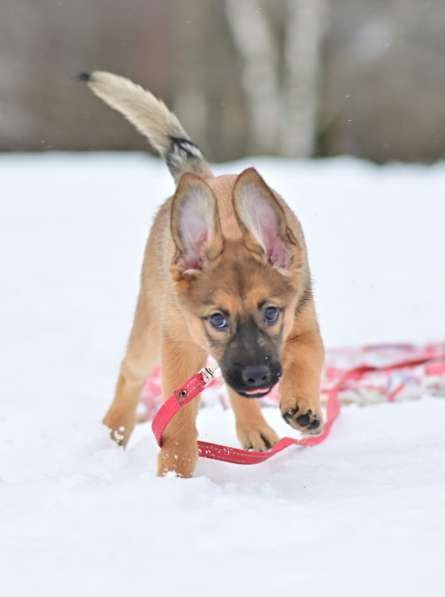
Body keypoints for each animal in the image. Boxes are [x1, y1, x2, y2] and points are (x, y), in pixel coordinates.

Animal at [80, 72, 322, 478]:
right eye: (218, 319)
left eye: (271, 312)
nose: (257, 376)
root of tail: (207, 177)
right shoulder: (178, 348)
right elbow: (177, 420)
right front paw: (175, 474)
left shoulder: (302, 321)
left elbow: (306, 358)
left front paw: (303, 406)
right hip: (151, 329)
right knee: (130, 373)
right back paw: (113, 432)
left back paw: (254, 427)